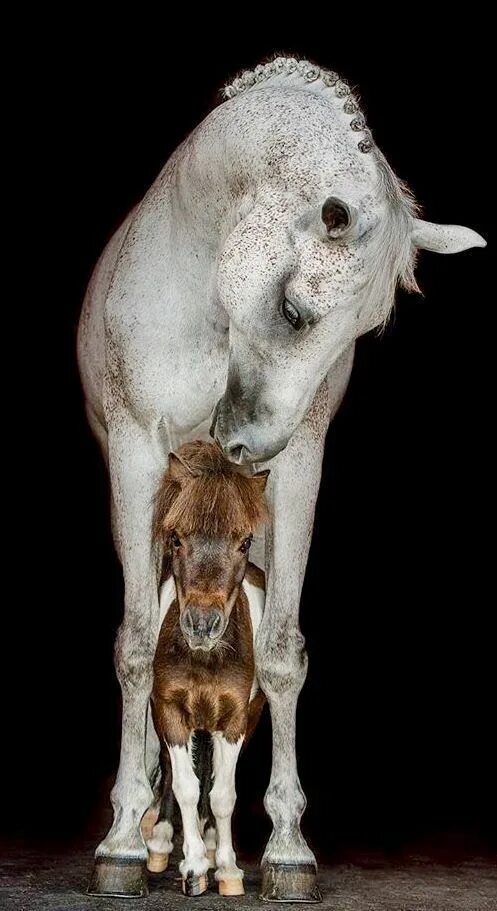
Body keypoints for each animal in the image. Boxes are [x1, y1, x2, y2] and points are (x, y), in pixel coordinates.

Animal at [145, 440, 268, 897]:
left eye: (245, 541)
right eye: (176, 538)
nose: (201, 624)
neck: (206, 660)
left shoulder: (233, 720)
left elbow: (221, 794)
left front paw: (227, 869)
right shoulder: (169, 711)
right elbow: (183, 784)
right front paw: (193, 866)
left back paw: (214, 845)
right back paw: (164, 844)